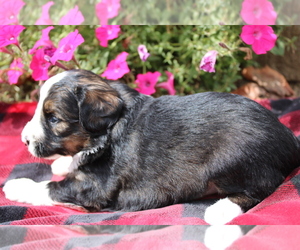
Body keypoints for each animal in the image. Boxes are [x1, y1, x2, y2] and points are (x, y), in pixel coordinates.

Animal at [2, 69, 300, 225]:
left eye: (53, 118)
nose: (23, 140)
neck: (106, 131)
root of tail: (289, 138)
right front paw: (64, 162)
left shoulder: (94, 187)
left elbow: (50, 187)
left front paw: (16, 186)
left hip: (231, 158)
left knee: (265, 186)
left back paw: (221, 210)